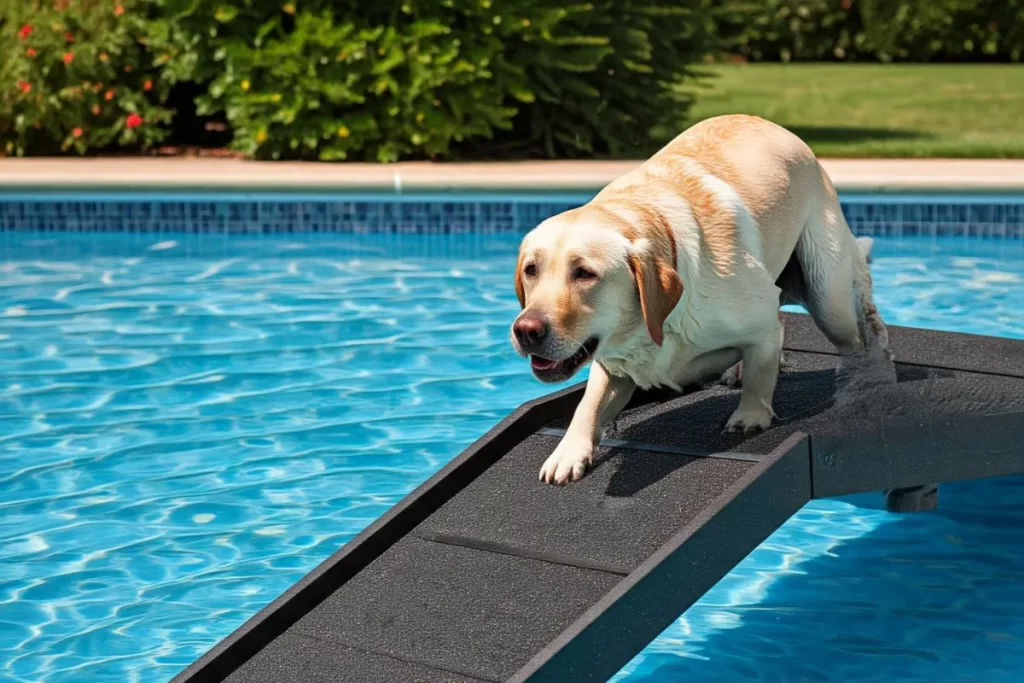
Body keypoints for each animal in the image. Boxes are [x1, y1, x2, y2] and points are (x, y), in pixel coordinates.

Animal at [509, 113, 888, 485]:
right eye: (531, 269)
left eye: (585, 273)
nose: (526, 330)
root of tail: (773, 124)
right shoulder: (612, 362)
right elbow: (587, 405)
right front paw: (568, 452)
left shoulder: (760, 323)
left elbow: (761, 372)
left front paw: (751, 414)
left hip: (828, 293)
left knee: (862, 334)